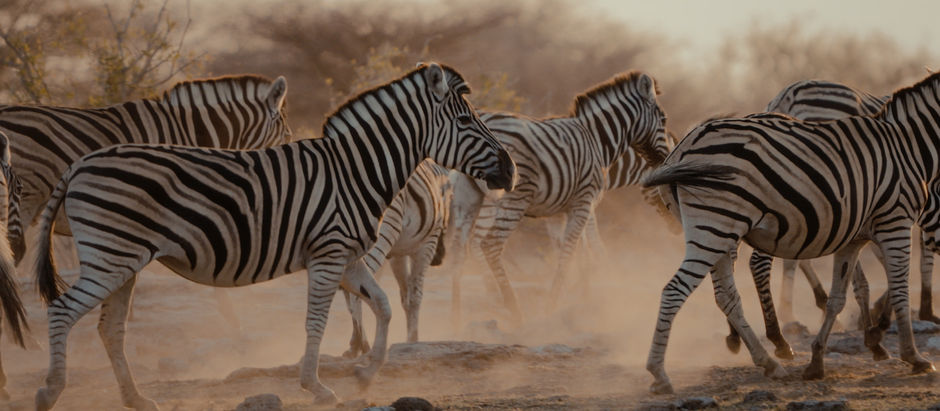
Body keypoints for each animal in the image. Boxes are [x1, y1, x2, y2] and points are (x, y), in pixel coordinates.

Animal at [342, 160, 452, 358]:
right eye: (450, 197)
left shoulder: (396, 255)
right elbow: (415, 295)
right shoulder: (426, 246)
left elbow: (402, 295)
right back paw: (366, 346)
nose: (439, 259)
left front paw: (354, 344)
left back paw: (360, 344)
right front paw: (413, 341)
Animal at [448, 71, 670, 324]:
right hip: (511, 199)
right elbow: (576, 251)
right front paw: (557, 304)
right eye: (664, 120)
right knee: (488, 244)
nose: (665, 160)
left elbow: (566, 250)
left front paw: (575, 294)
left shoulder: (558, 211)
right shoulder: (584, 202)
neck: (598, 141)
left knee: (458, 252)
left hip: (468, 196)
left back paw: (455, 319)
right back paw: (512, 309)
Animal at [641, 72, 940, 395]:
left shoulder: (854, 235)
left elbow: (842, 295)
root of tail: (682, 147)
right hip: (717, 226)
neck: (907, 146)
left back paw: (768, 360)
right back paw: (660, 372)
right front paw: (912, 354)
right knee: (677, 290)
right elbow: (898, 286)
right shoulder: (895, 220)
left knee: (726, 296)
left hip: (719, 228)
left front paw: (823, 358)